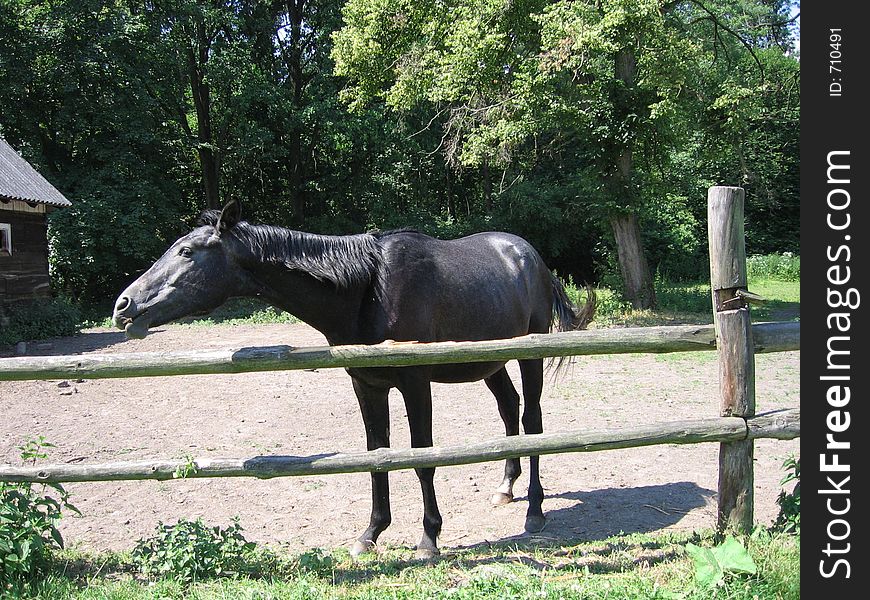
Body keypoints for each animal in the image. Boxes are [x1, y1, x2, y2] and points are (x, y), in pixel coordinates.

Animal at [112, 200, 596, 556]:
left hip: (529, 355)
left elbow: (422, 459)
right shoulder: (367, 386)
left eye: (187, 252)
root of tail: (530, 257)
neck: (369, 288)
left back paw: (534, 510)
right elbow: (376, 456)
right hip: (490, 362)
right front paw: (371, 534)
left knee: (532, 421)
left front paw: (429, 537)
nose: (123, 305)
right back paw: (505, 489)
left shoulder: (415, 385)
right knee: (509, 412)